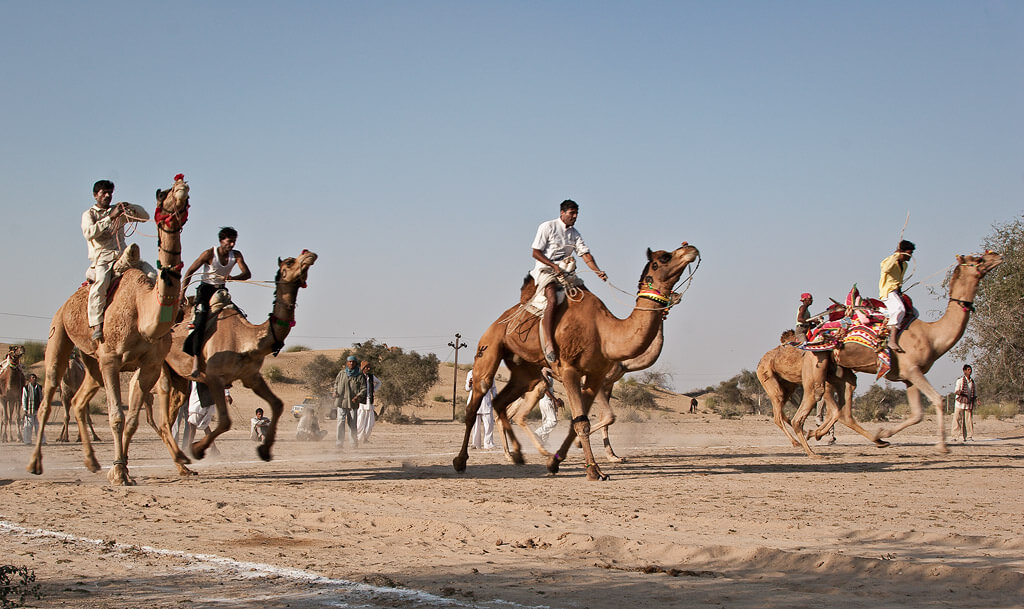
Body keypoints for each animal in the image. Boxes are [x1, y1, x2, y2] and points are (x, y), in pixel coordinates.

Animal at [28, 174, 191, 484]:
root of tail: (67, 303)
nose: (182, 186)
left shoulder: (149, 365)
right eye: (162, 194)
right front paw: (118, 473)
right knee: (49, 392)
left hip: (91, 362)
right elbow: (116, 416)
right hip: (60, 334)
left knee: (79, 401)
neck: (144, 315)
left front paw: (122, 467)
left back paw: (92, 462)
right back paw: (34, 464)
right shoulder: (112, 359)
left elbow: (132, 420)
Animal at [154, 249, 318, 474]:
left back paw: (183, 466)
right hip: (161, 364)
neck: (245, 340)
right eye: (290, 262)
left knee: (171, 415)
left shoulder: (251, 377)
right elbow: (225, 421)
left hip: (179, 376)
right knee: (163, 411)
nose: (309, 254)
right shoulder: (213, 377)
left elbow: (277, 404)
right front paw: (197, 450)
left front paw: (264, 451)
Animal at [454, 242, 700, 481]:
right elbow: (584, 420)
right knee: (476, 402)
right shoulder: (571, 370)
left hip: (525, 371)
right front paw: (594, 470)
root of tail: (499, 321)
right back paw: (461, 461)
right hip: (489, 348)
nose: (690, 248)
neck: (605, 332)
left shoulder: (595, 376)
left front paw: (556, 462)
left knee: (501, 403)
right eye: (664, 258)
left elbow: (582, 421)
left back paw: (518, 454)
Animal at [790, 251, 1003, 455]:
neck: (932, 336)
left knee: (844, 409)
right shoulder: (912, 370)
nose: (997, 256)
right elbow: (938, 400)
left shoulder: (909, 377)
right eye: (978, 259)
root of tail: (813, 335)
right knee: (816, 402)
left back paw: (862, 438)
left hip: (841, 372)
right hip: (818, 364)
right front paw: (942, 447)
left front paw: (883, 432)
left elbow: (917, 414)